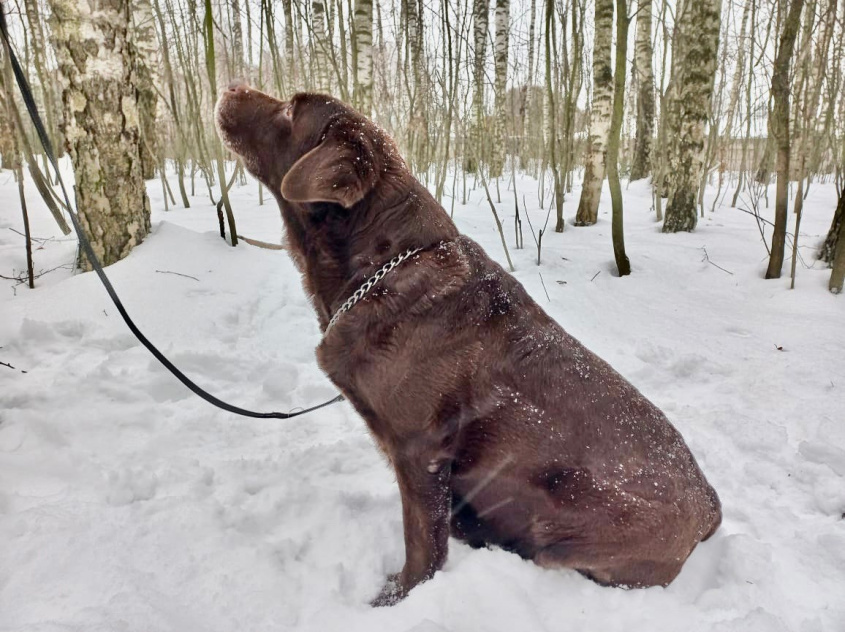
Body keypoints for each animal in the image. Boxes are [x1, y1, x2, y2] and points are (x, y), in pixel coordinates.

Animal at [216, 82, 720, 604]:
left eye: (290, 111)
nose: (231, 86)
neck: (383, 265)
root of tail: (711, 511)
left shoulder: (420, 450)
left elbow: (422, 542)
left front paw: (397, 597)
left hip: (569, 520)